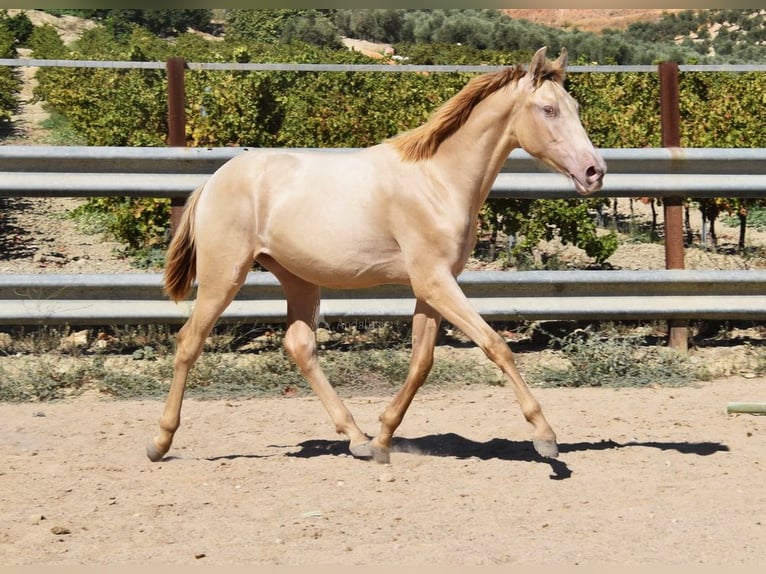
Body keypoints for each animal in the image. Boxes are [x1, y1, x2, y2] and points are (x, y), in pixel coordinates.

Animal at [147, 46, 608, 468]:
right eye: (548, 109)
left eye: (576, 107)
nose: (595, 172)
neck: (438, 180)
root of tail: (212, 182)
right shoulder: (435, 282)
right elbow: (496, 345)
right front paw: (546, 438)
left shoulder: (430, 287)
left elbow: (422, 361)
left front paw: (384, 438)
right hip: (224, 275)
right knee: (189, 341)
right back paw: (160, 443)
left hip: (299, 278)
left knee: (300, 346)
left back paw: (357, 439)